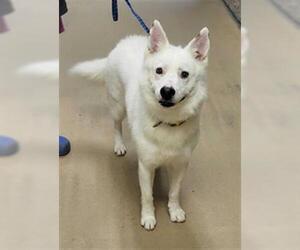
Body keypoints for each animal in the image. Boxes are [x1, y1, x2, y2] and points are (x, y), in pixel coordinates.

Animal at [71, 20, 210, 230]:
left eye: (184, 74)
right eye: (159, 71)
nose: (167, 91)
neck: (167, 121)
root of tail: (122, 43)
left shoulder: (180, 165)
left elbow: (174, 192)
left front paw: (175, 210)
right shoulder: (144, 167)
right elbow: (147, 195)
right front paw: (148, 216)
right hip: (118, 106)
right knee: (116, 125)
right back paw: (119, 145)